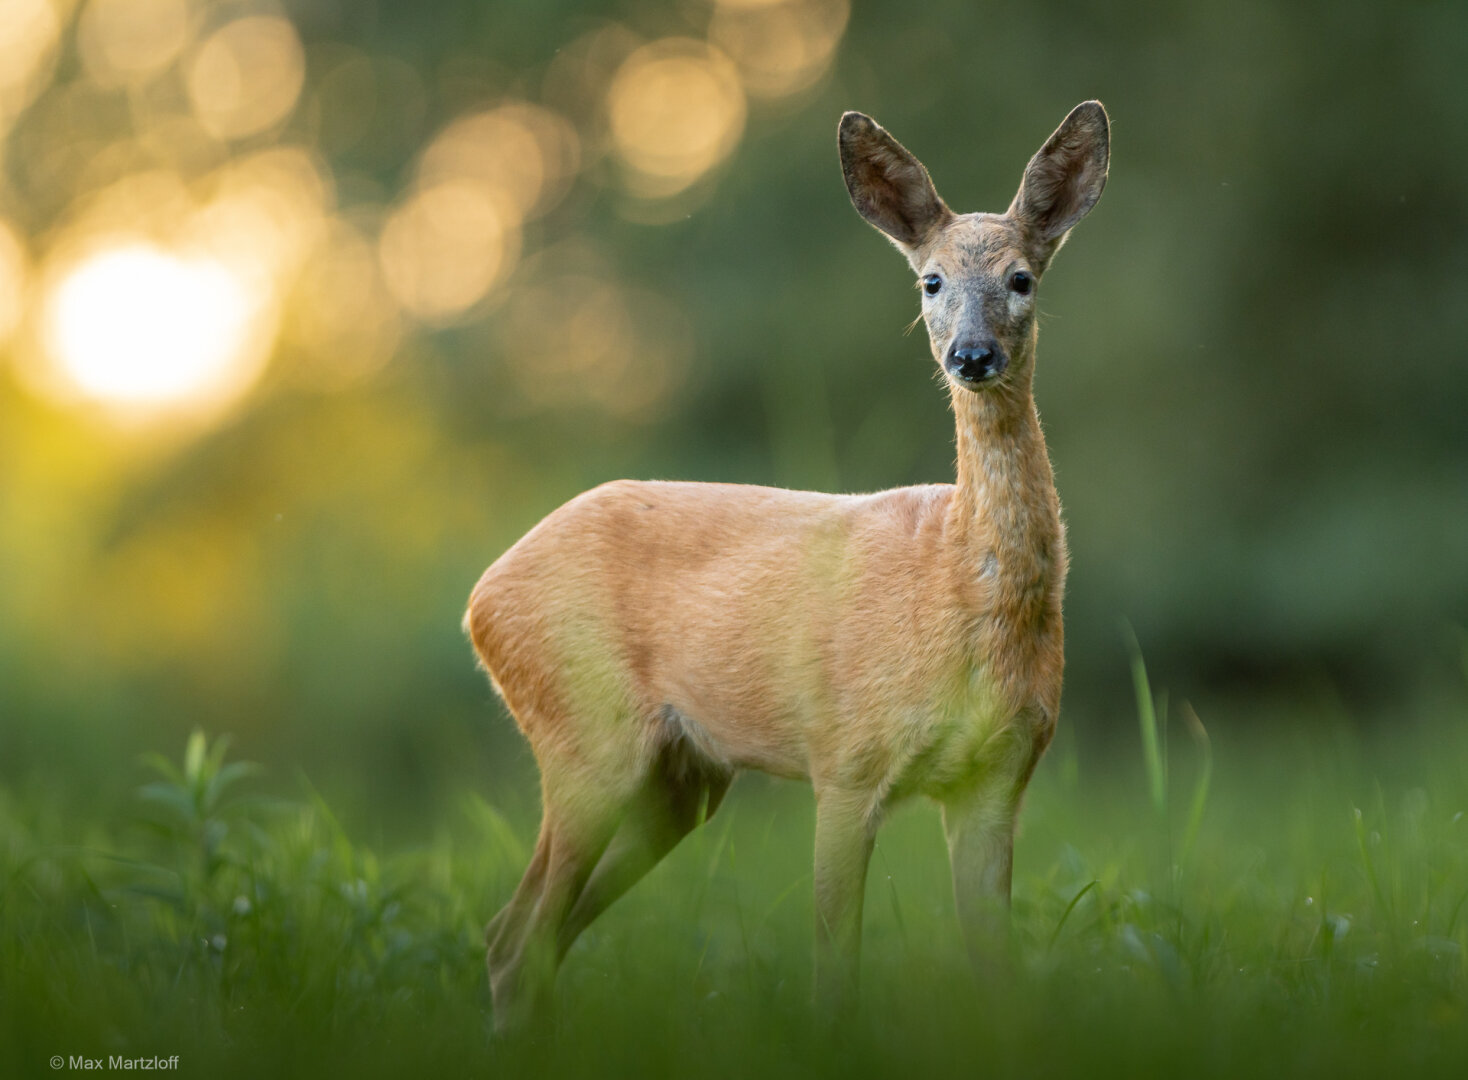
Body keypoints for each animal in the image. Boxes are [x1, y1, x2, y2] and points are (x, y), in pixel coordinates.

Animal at [466, 101, 1109, 1030]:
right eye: (931, 283)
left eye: (1022, 278)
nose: (972, 355)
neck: (955, 583)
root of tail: (480, 596)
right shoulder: (844, 759)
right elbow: (832, 972)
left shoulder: (998, 779)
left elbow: (996, 976)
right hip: (586, 736)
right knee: (519, 937)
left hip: (679, 782)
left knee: (522, 932)